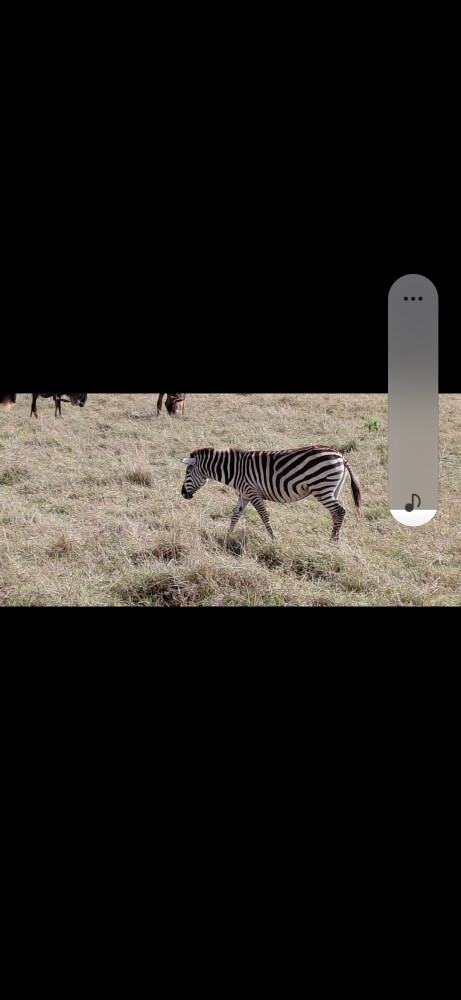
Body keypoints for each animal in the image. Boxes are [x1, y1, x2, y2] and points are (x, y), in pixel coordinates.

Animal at [181, 446, 362, 541]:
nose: (183, 494)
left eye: (187, 473)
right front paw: (227, 537)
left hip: (321, 488)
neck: (235, 470)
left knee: (340, 511)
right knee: (336, 513)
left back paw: (332, 541)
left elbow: (264, 515)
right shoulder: (244, 495)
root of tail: (340, 455)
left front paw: (273, 538)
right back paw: (335, 538)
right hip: (332, 490)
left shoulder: (253, 492)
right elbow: (235, 516)